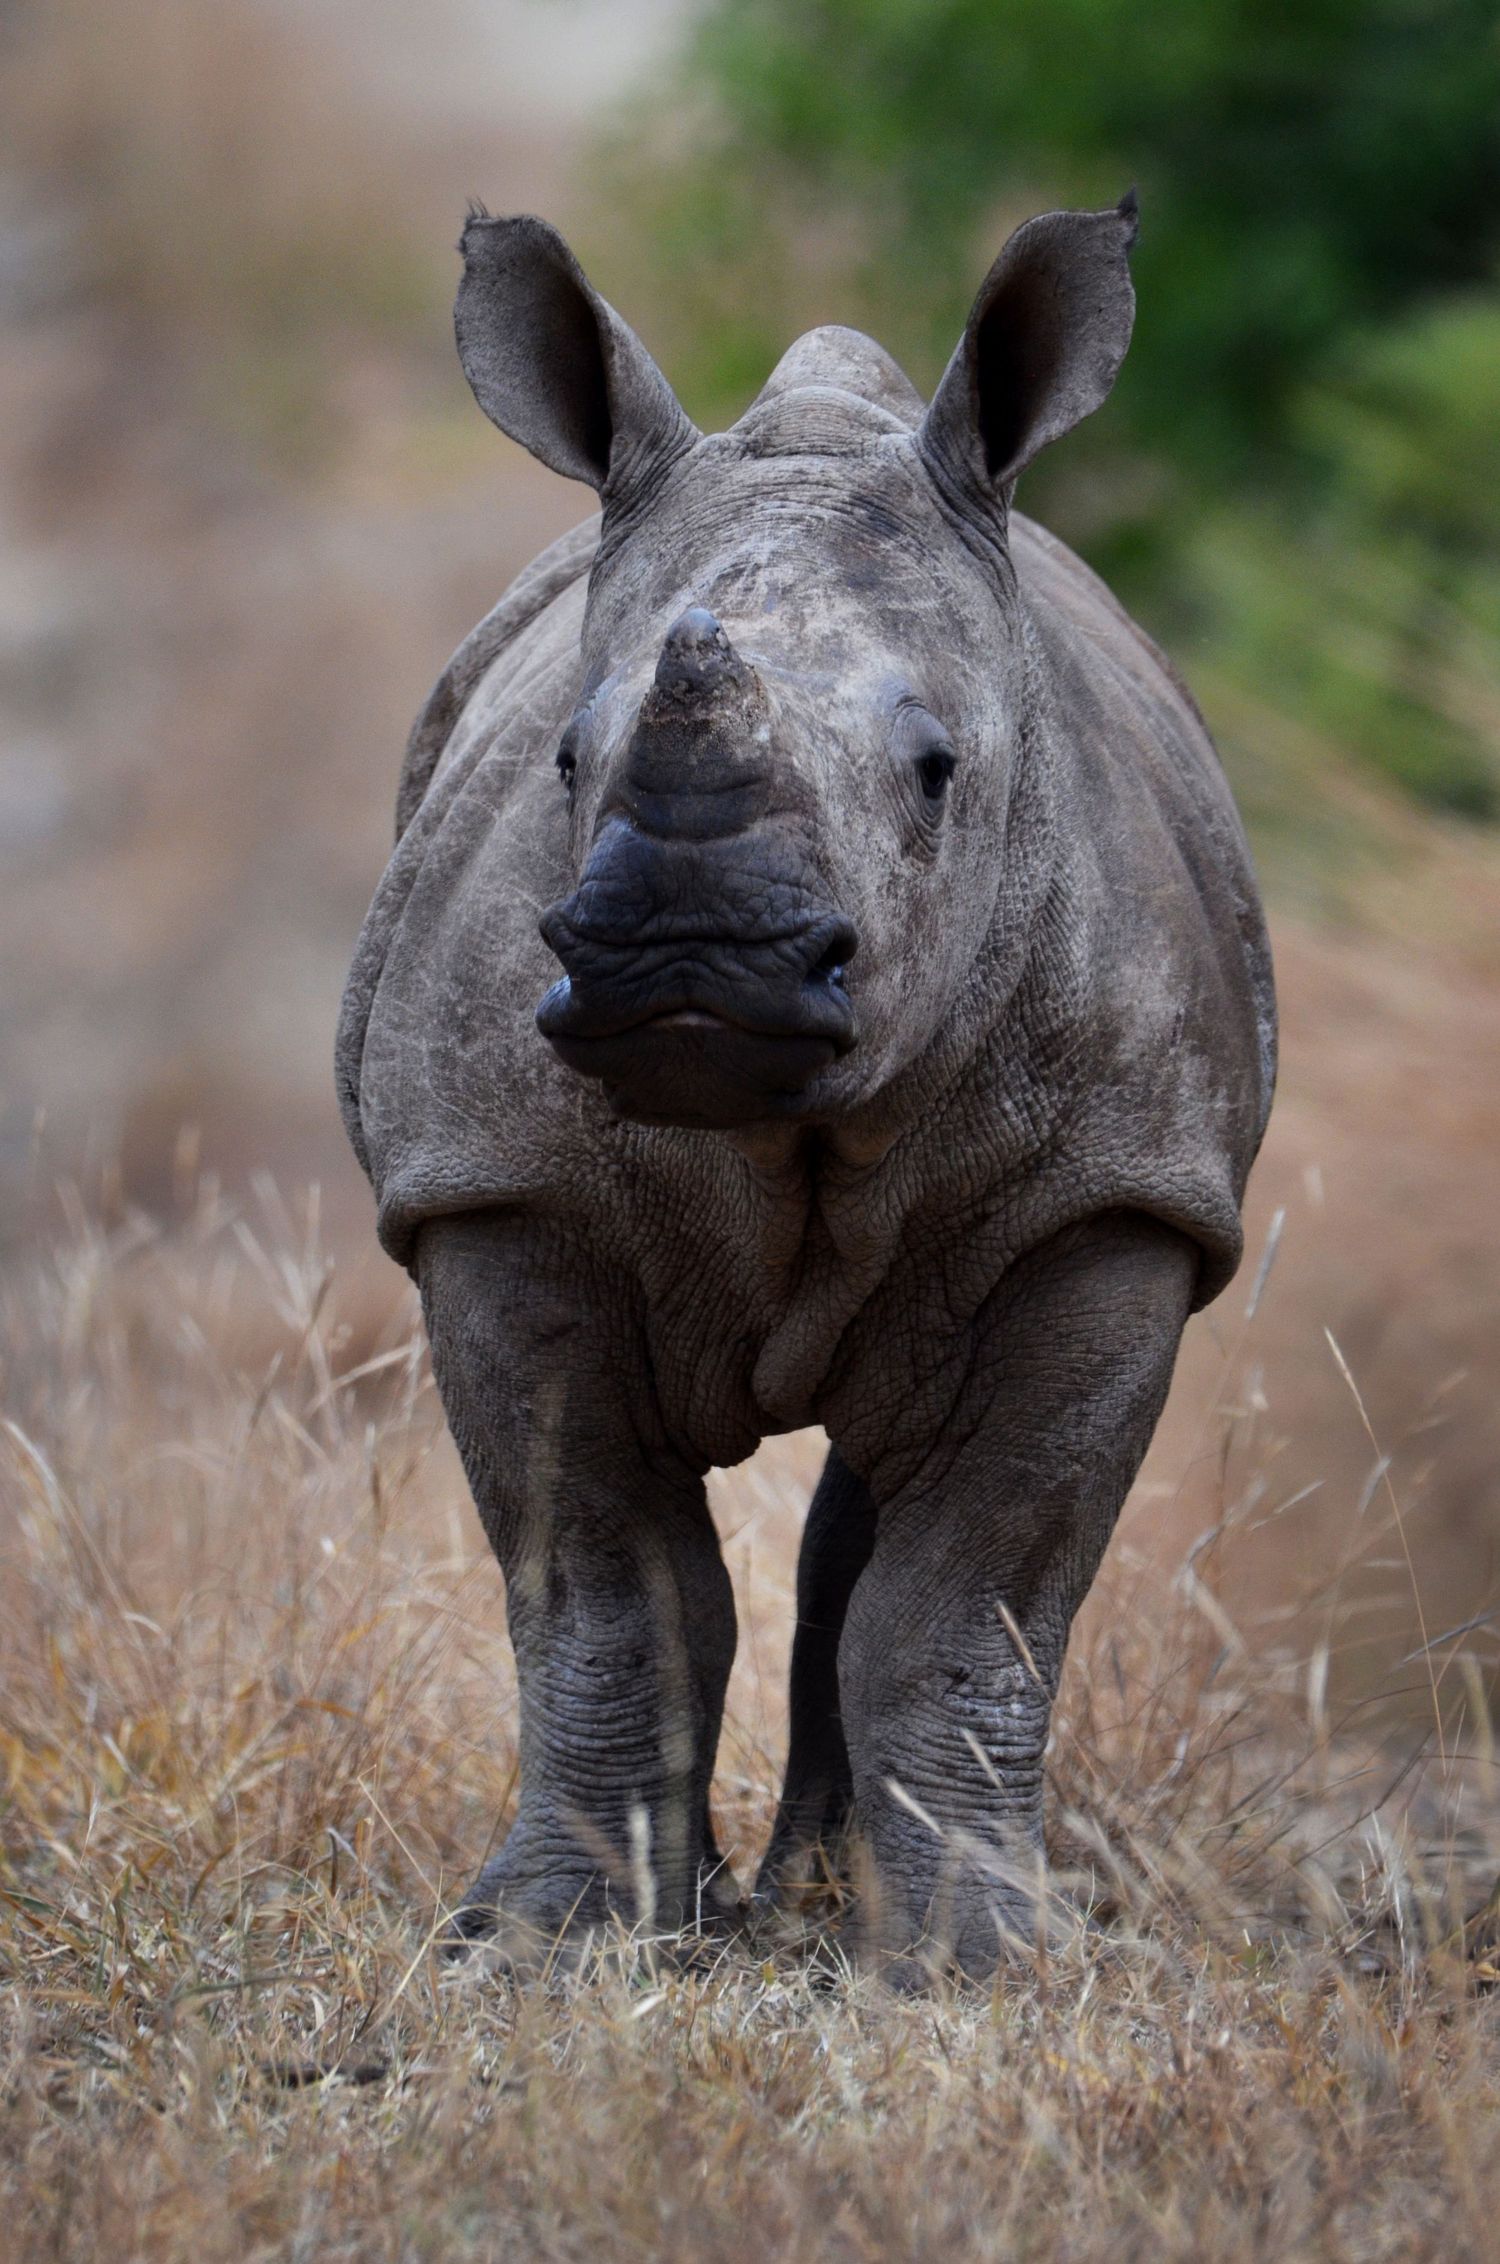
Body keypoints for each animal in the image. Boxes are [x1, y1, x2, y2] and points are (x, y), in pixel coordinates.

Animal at [336, 195, 1276, 1978]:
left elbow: (967, 1600)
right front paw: (556, 1945)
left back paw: (833, 1906)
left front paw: (981, 1967)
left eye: (938, 770)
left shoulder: (1116, 1200)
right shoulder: (497, 1182)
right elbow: (608, 1592)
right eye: (567, 762)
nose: (691, 952)